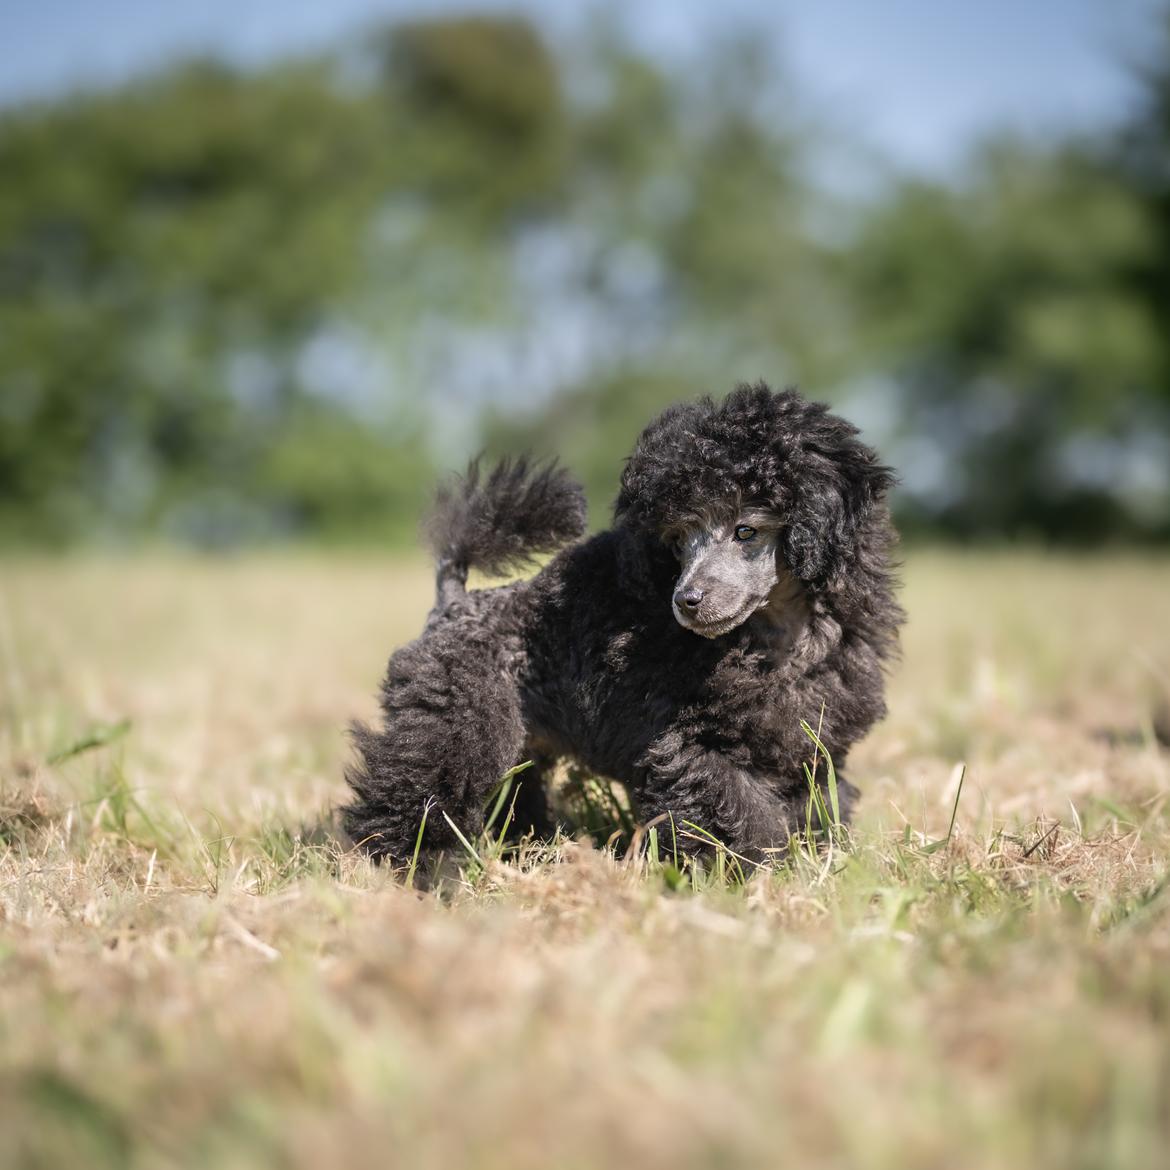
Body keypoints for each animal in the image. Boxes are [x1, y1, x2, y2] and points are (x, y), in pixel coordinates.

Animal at [341, 381, 898, 861]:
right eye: (678, 540)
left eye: (746, 531)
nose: (686, 600)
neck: (773, 639)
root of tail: (453, 601)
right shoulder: (686, 745)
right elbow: (735, 810)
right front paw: (750, 869)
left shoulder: (811, 745)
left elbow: (815, 805)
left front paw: (812, 860)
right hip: (456, 717)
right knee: (415, 783)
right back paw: (404, 864)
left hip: (519, 740)